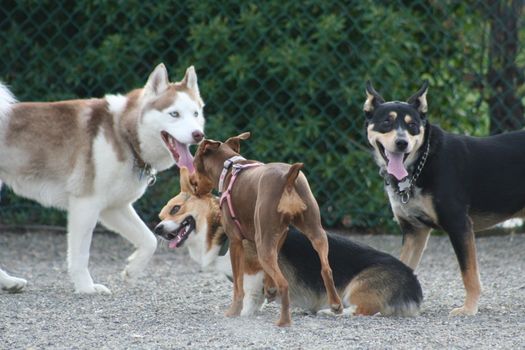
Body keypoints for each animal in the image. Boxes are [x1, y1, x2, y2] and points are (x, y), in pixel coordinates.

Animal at [0, 63, 205, 296]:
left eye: (196, 113)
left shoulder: (113, 207)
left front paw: (132, 270)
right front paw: (86, 287)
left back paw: (9, 282)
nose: (199, 135)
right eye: (174, 114)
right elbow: (80, 255)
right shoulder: (85, 204)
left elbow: (149, 240)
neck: (124, 134)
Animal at [155, 167, 422, 318]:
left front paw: (242, 314)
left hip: (356, 288)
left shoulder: (254, 269)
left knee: (364, 310)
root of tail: (415, 286)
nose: (157, 229)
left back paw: (330, 312)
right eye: (160, 216)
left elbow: (249, 294)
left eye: (176, 209)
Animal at [190, 131, 342, 326]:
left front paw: (233, 311)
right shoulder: (280, 235)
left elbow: (238, 284)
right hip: (315, 231)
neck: (229, 167)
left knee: (284, 283)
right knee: (326, 268)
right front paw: (269, 289)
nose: (191, 181)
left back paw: (284, 321)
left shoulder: (236, 242)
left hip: (263, 244)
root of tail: (288, 177)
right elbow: (271, 265)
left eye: (194, 162)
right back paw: (336, 305)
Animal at [364, 80, 524, 316]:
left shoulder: (459, 225)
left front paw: (468, 308)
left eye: (412, 126)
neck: (421, 163)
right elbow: (402, 265)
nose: (402, 142)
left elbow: (469, 274)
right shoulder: (414, 231)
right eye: (387, 122)